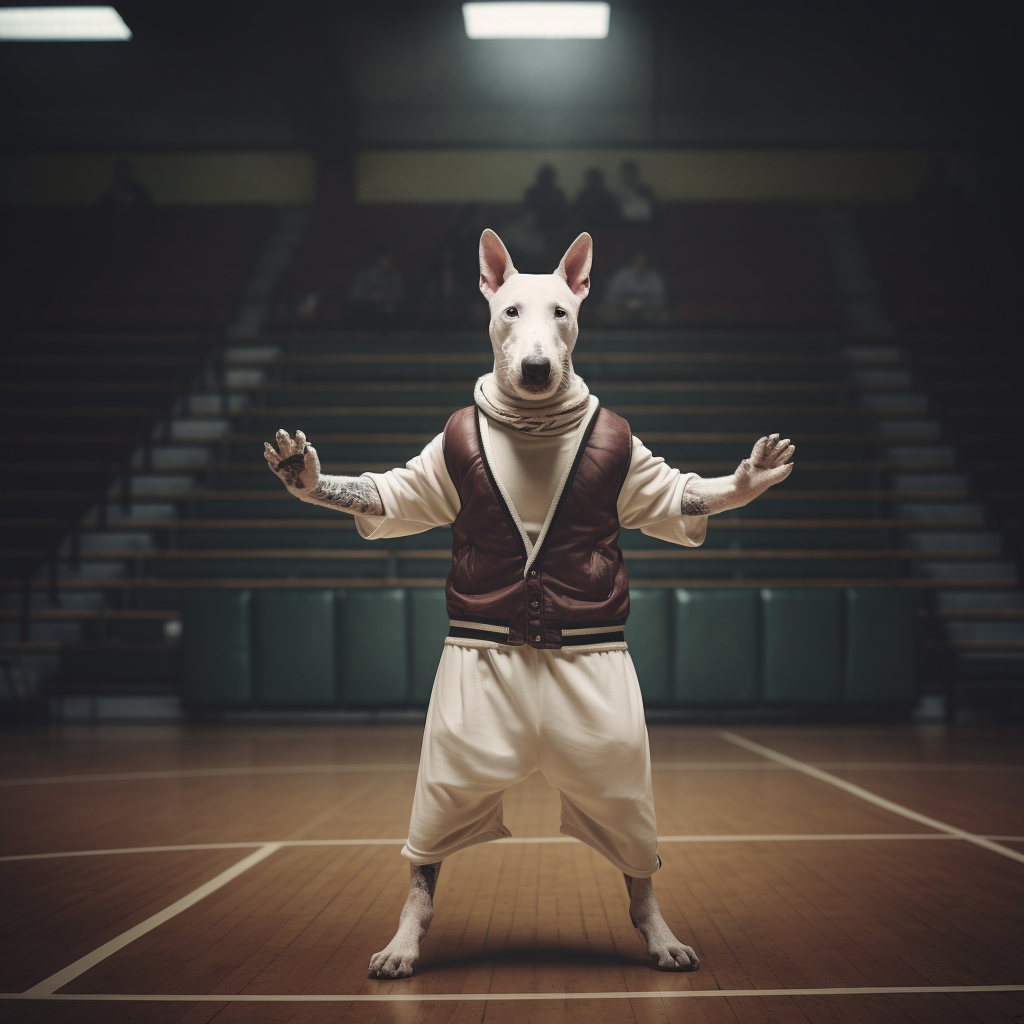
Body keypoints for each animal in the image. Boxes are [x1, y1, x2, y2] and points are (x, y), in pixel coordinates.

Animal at [262, 228, 790, 978]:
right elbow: (388, 495)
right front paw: (307, 477)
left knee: (631, 840)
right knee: (430, 847)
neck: (535, 426)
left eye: (561, 313)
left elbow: (679, 495)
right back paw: (406, 938)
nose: (538, 368)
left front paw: (743, 481)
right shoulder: (435, 465)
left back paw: (656, 929)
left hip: (610, 754)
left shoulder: (637, 466)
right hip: (457, 754)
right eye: (510, 310)